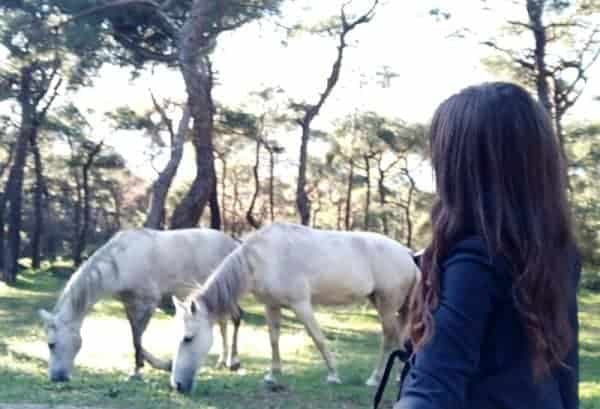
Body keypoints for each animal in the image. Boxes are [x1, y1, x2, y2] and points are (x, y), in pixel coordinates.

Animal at [38, 228, 241, 380]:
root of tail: (233, 242)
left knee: (236, 318)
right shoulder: (130, 304)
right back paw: (221, 361)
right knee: (223, 322)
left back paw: (233, 361)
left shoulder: (148, 303)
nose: (56, 378)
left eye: (51, 344)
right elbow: (135, 337)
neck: (123, 261)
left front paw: (143, 369)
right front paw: (151, 365)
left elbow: (138, 338)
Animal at [171, 223, 420, 392]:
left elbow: (317, 338)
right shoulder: (271, 306)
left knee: (389, 338)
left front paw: (333, 375)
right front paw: (273, 375)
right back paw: (399, 377)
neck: (262, 258)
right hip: (390, 306)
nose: (177, 384)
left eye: (188, 338)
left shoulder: (301, 305)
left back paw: (375, 379)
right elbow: (273, 338)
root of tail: (408, 254)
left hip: (387, 306)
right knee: (401, 339)